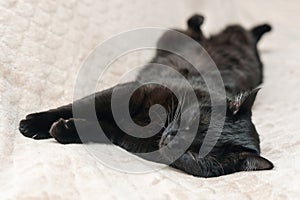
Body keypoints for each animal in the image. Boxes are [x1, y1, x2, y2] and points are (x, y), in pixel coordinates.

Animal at [17, 14, 274, 177]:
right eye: (194, 123)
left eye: (194, 156)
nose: (172, 138)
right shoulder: (128, 92)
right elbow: (78, 106)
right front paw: (32, 124)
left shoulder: (124, 137)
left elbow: (93, 129)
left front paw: (62, 129)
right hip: (178, 37)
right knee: (216, 28)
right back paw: (202, 20)